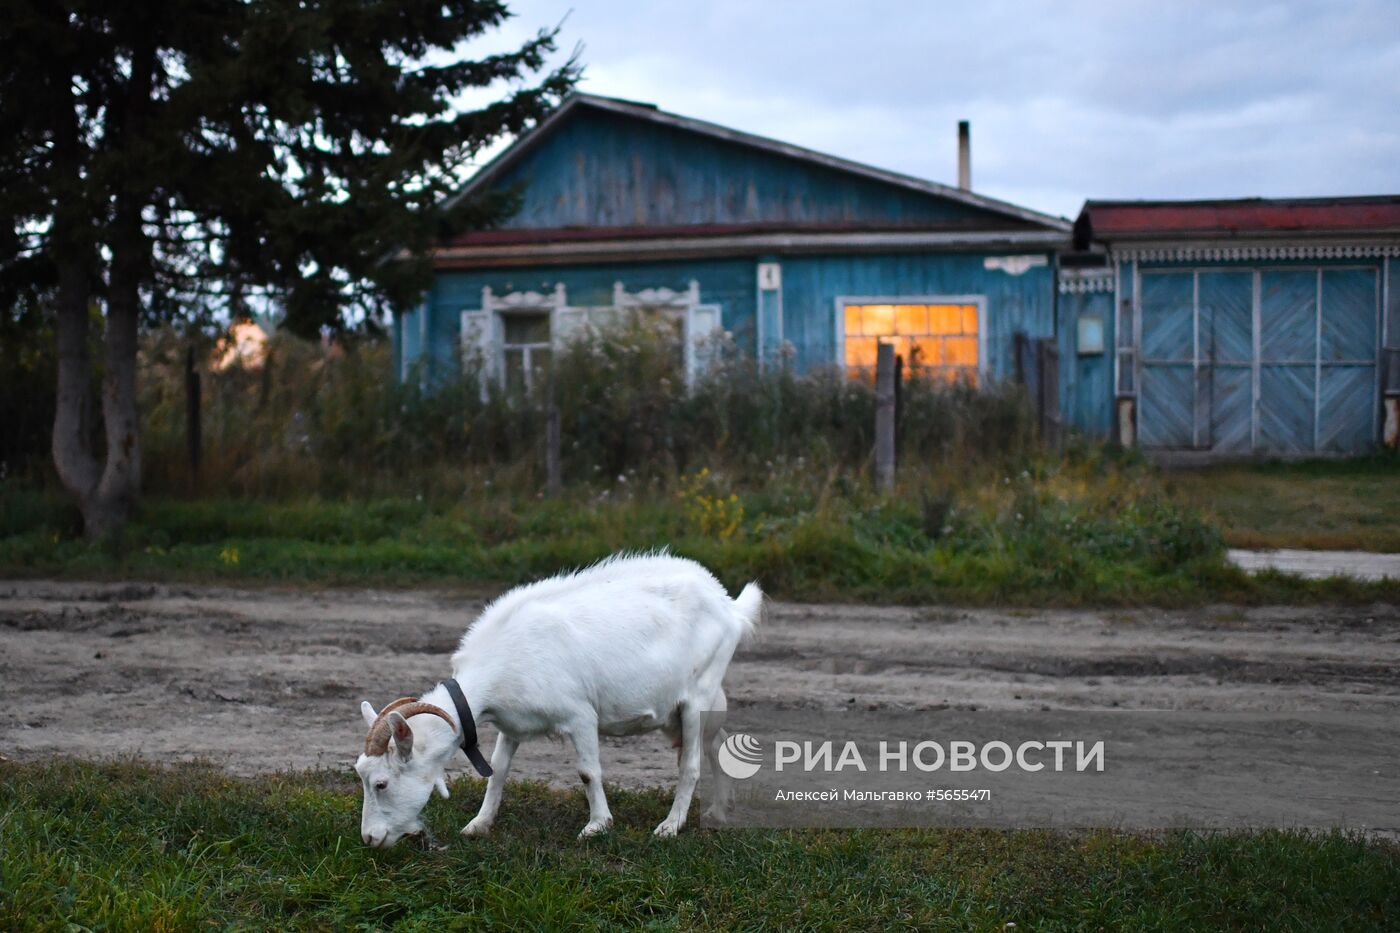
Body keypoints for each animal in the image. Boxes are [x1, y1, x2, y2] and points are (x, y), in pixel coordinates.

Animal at [355, 549, 761, 846]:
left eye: (381, 783)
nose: (370, 838)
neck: (500, 662)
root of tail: (729, 605)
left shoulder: (580, 715)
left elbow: (587, 771)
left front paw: (597, 825)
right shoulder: (511, 726)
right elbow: (498, 770)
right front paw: (479, 824)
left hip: (697, 696)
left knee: (690, 763)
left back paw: (670, 825)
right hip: (678, 712)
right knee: (717, 742)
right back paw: (719, 811)